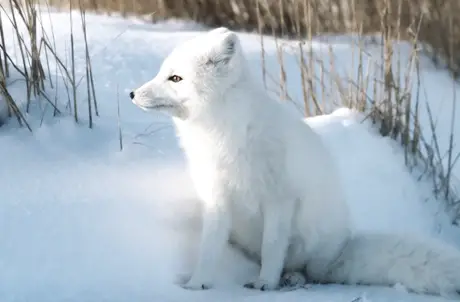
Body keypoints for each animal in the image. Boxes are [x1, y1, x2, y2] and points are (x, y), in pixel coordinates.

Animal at [130, 27, 460, 298]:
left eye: (175, 78)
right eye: (162, 73)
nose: (131, 93)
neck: (225, 135)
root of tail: (342, 247)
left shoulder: (280, 199)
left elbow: (273, 248)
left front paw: (265, 283)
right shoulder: (216, 198)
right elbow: (209, 249)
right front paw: (197, 283)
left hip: (310, 241)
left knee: (310, 271)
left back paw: (291, 279)